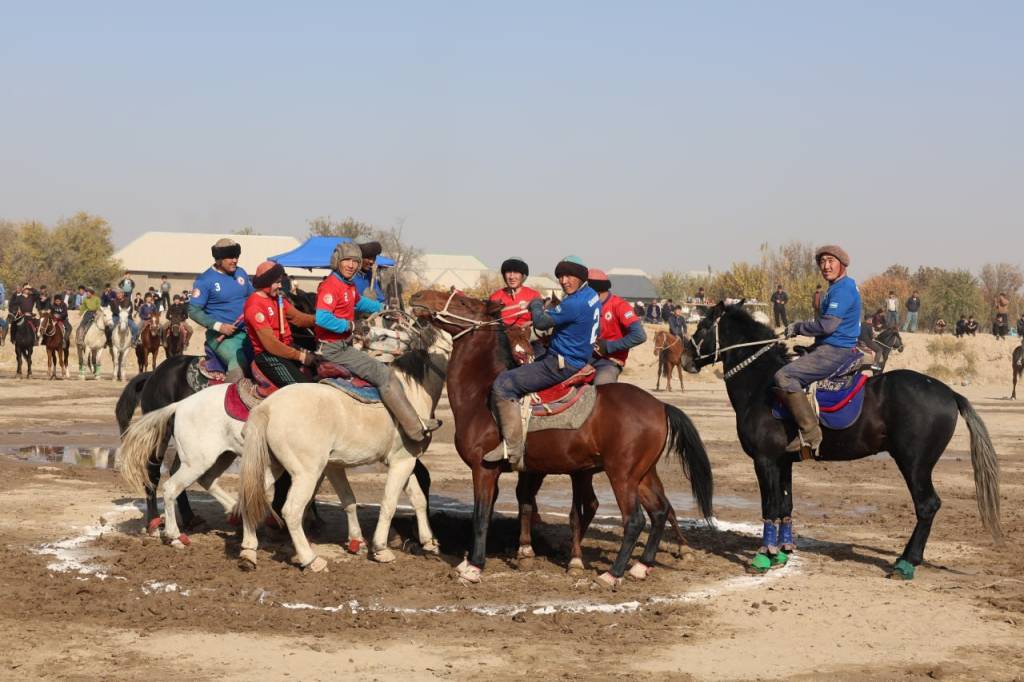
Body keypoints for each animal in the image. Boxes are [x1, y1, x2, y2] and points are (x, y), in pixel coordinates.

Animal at [236, 324, 453, 571]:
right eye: (384, 335)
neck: (411, 391)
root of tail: (267, 408)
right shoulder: (402, 461)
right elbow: (389, 502)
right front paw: (380, 549)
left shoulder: (339, 466)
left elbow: (409, 499)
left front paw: (428, 542)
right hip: (305, 474)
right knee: (291, 511)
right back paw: (311, 559)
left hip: (271, 466)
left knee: (250, 498)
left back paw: (248, 553)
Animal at [409, 289, 714, 586]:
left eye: (462, 302)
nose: (418, 296)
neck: (481, 394)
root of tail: (660, 406)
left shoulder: (484, 469)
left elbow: (481, 516)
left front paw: (474, 567)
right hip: (643, 474)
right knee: (660, 511)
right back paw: (641, 566)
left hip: (622, 475)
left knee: (635, 520)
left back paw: (612, 574)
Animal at [681, 301, 1002, 579]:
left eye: (704, 325)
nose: (685, 358)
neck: (761, 385)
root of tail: (949, 392)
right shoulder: (784, 462)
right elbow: (785, 506)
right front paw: (782, 552)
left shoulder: (765, 461)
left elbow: (769, 508)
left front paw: (764, 556)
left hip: (915, 465)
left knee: (927, 506)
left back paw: (906, 562)